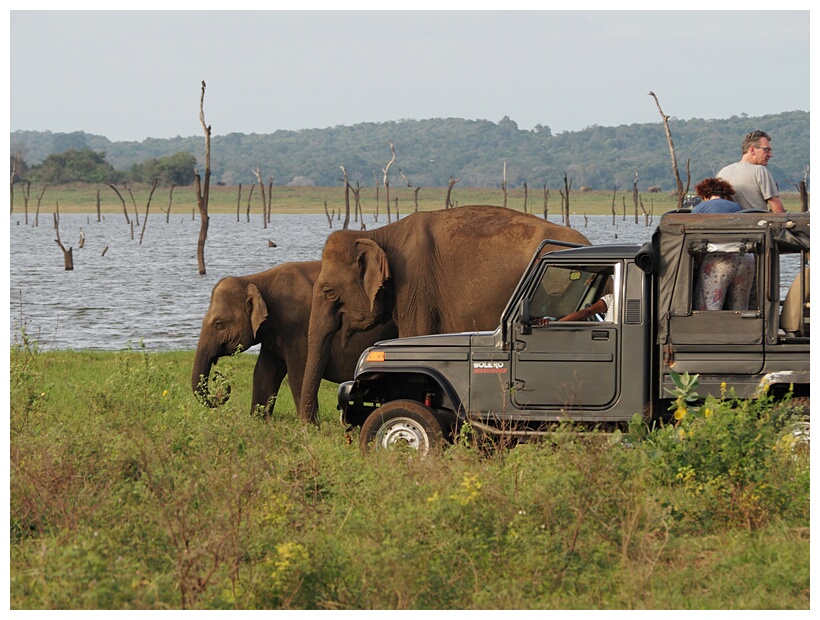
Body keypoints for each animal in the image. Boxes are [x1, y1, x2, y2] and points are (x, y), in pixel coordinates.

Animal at [192, 260, 398, 418]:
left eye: (219, 324)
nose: (221, 382)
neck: (256, 279)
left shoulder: (298, 327)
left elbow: (298, 375)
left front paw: (309, 429)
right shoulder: (273, 335)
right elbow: (263, 373)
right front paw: (260, 422)